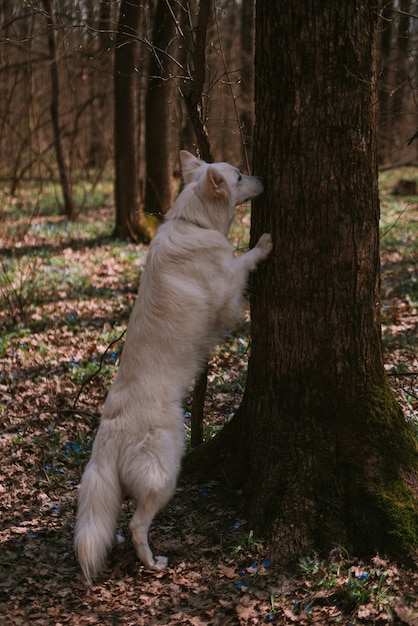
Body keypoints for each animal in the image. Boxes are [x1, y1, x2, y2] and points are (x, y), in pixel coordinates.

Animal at [74, 150, 272, 580]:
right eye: (239, 175)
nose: (264, 178)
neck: (193, 222)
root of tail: (108, 436)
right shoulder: (227, 288)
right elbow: (242, 261)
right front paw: (263, 244)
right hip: (165, 472)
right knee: (137, 524)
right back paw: (152, 562)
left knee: (118, 518)